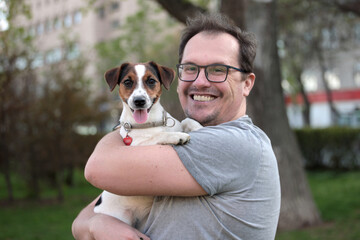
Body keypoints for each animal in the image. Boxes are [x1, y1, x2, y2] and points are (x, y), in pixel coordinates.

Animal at [93, 61, 201, 227]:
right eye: (127, 82)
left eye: (151, 81)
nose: (139, 101)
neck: (151, 123)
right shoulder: (136, 147)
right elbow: (157, 136)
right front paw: (177, 136)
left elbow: (186, 120)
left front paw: (198, 127)